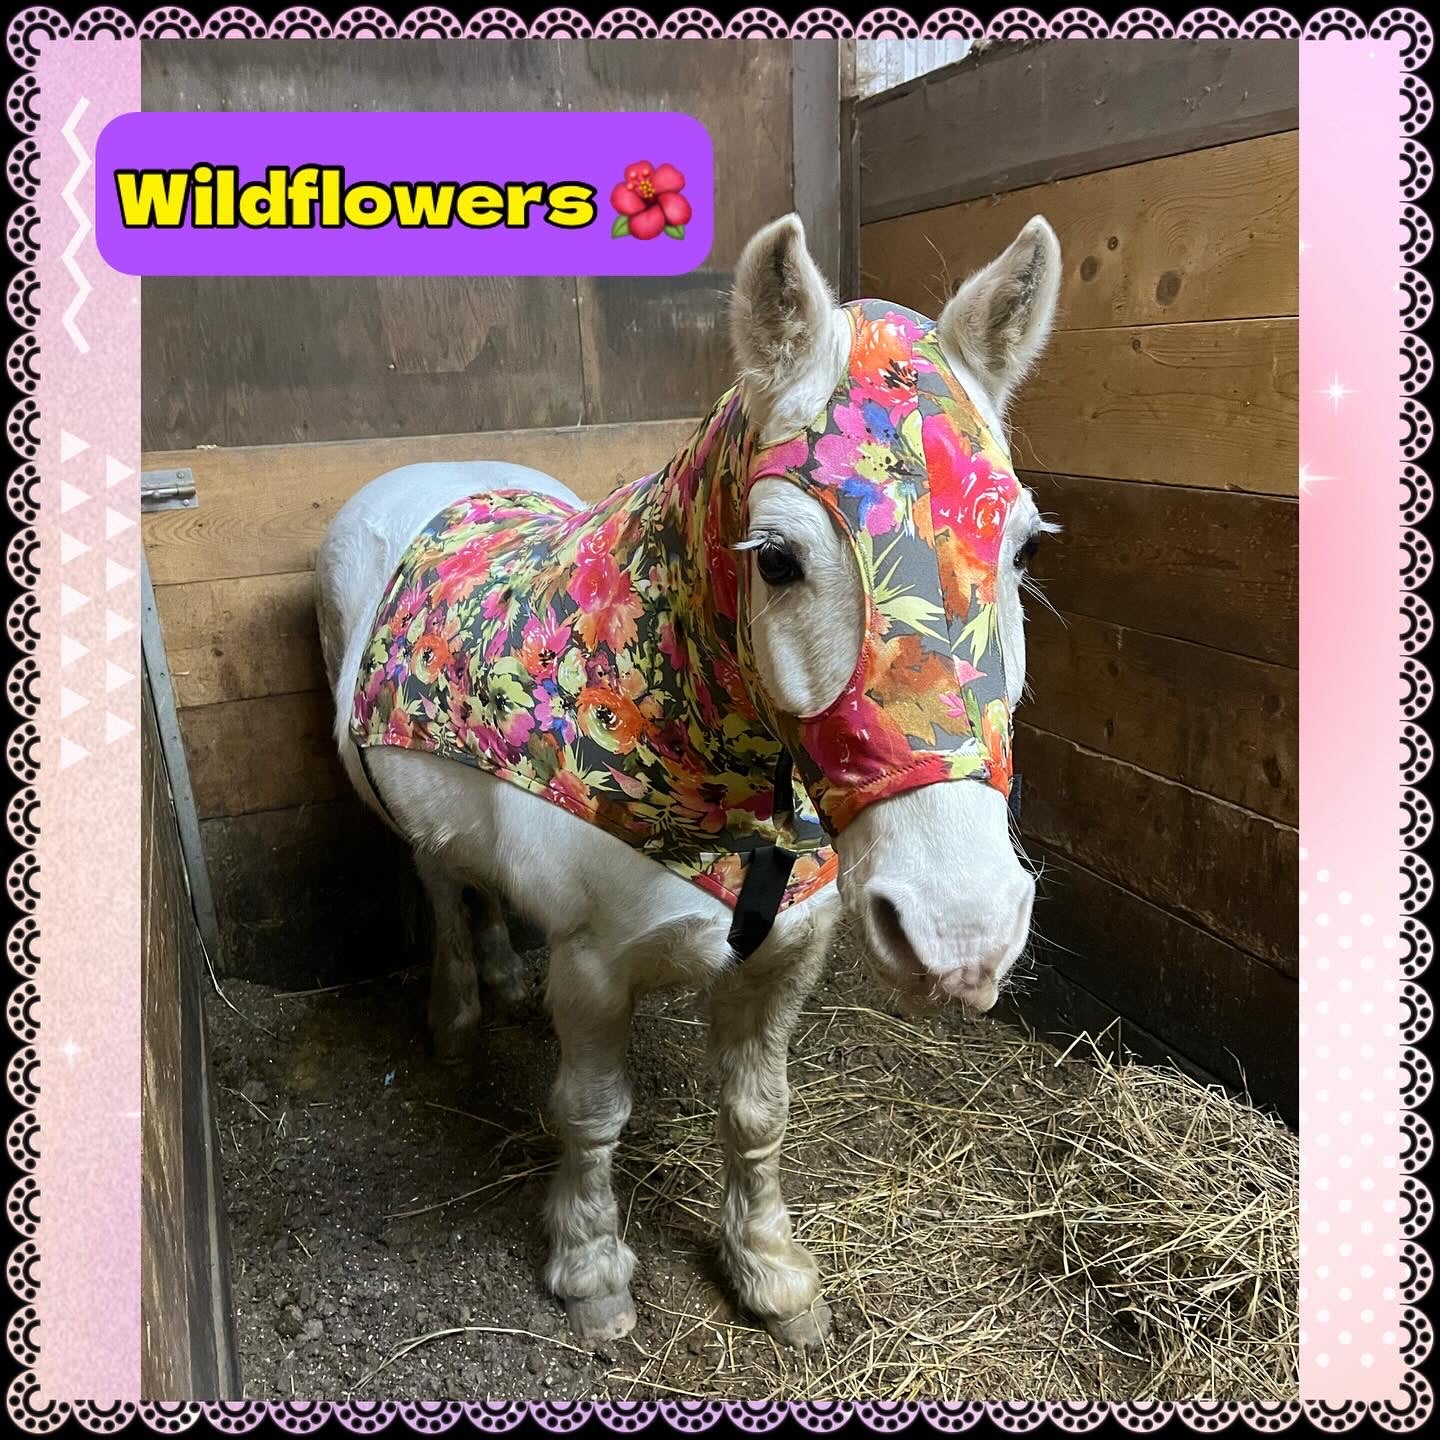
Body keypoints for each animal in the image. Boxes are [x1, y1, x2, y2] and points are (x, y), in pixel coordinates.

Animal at [315, 213, 1061, 1349]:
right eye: (778, 556)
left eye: (1016, 547)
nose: (961, 932)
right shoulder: (593, 970)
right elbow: (591, 1117)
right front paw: (589, 1269)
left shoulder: (786, 958)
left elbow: (757, 1115)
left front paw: (770, 1273)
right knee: (440, 885)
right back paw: (457, 1015)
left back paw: (501, 977)